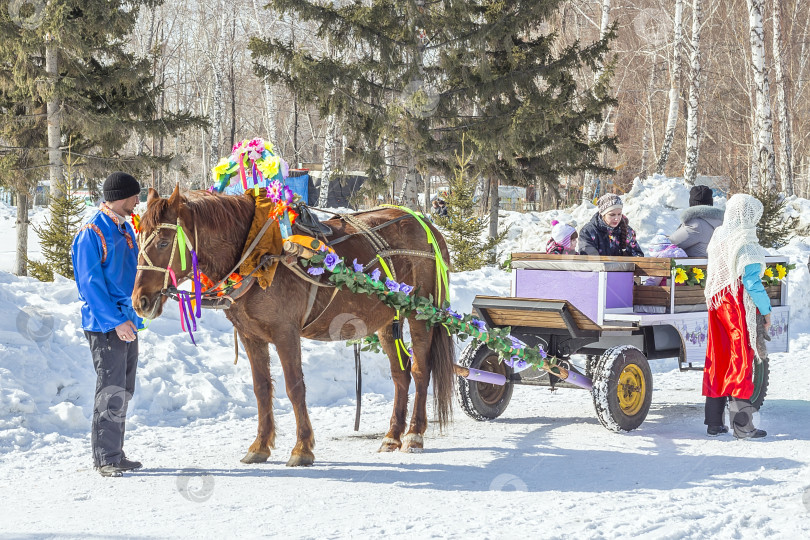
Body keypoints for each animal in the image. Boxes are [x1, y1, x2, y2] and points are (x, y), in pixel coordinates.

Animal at [129, 186, 452, 464]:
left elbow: (295, 388)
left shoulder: (286, 333)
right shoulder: (250, 335)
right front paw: (260, 446)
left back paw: (414, 435)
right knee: (400, 374)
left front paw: (302, 448)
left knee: (420, 370)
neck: (258, 255)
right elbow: (262, 389)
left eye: (163, 242)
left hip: (420, 313)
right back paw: (392, 436)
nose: (139, 301)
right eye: (138, 237)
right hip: (387, 319)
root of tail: (426, 224)